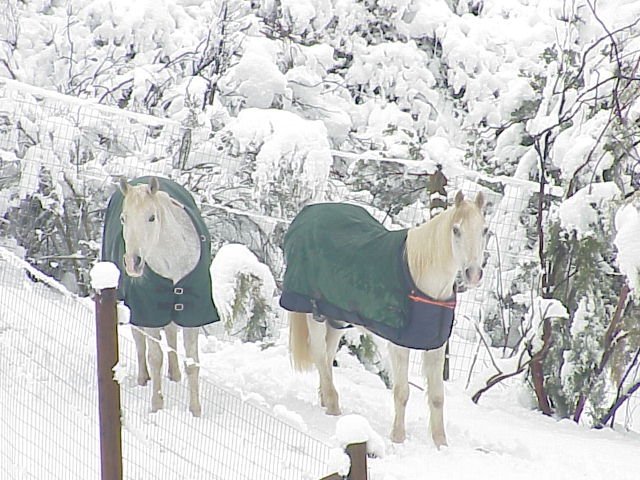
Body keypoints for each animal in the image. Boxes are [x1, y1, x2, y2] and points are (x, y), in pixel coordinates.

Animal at [288, 191, 484, 446]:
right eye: (456, 230)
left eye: (485, 230)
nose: (474, 274)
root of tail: (307, 212)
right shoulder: (399, 345)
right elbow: (402, 392)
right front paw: (398, 437)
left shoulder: (435, 347)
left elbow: (437, 396)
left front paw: (441, 444)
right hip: (315, 313)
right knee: (320, 355)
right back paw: (332, 405)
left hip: (336, 318)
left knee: (328, 357)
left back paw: (325, 398)